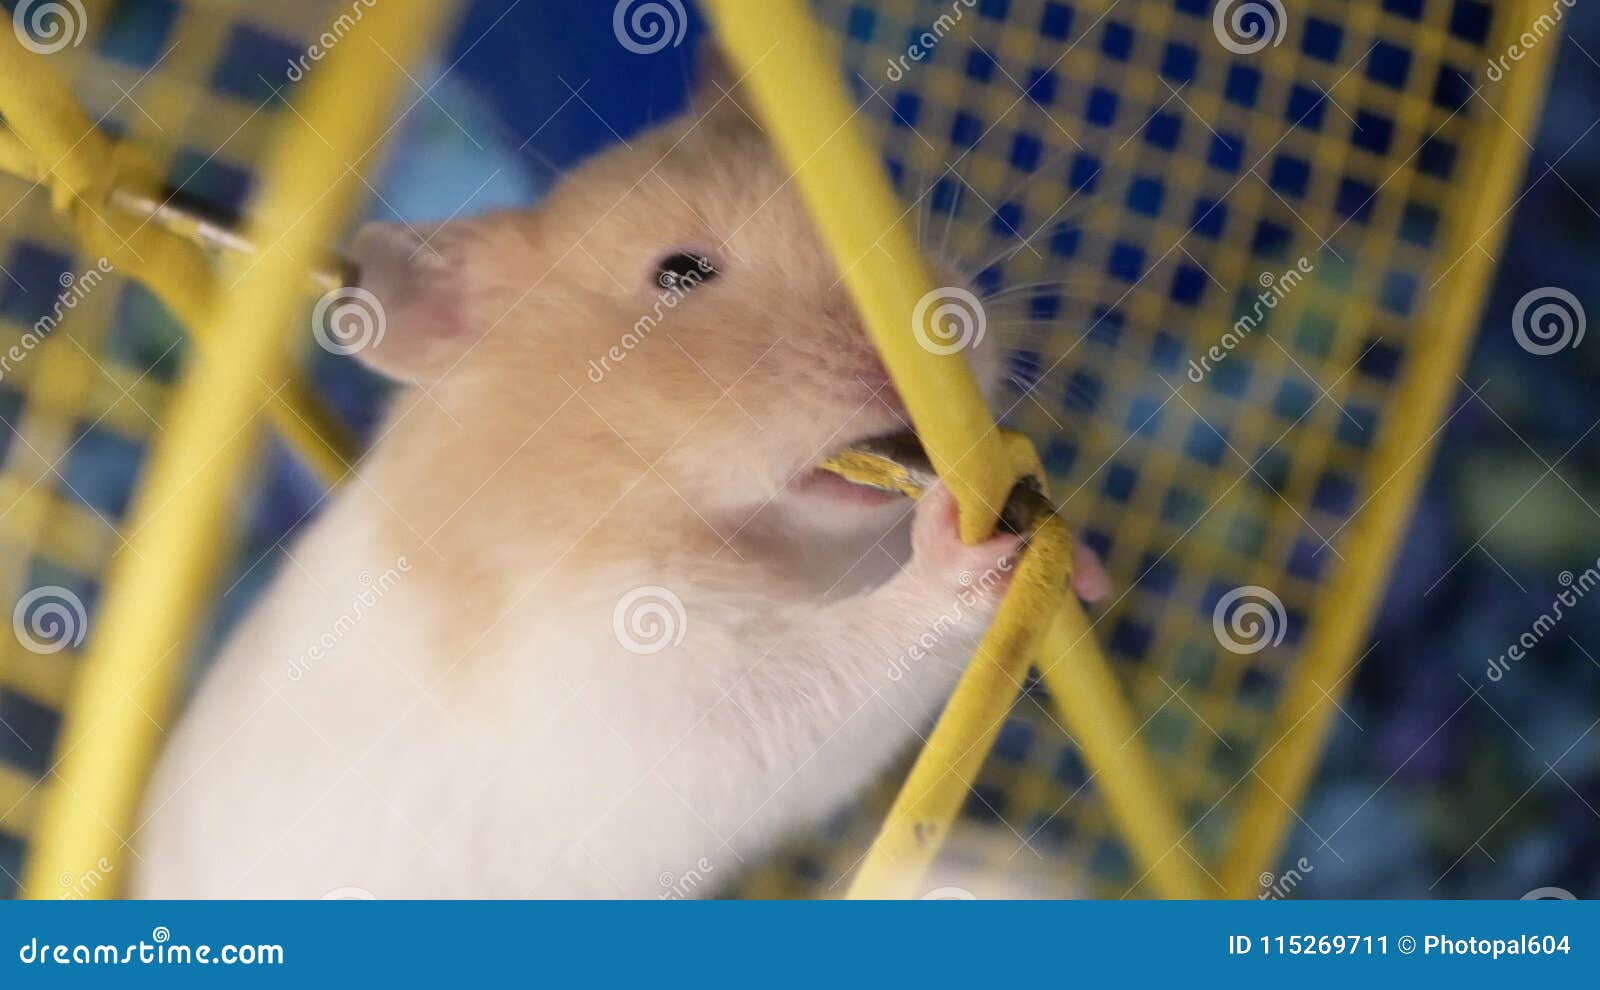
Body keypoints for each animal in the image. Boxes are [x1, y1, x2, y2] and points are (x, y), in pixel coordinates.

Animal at [132, 67, 1104, 899]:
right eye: (679, 274)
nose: (949, 328)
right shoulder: (646, 686)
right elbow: (837, 663)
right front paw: (965, 553)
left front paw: (1083, 566)